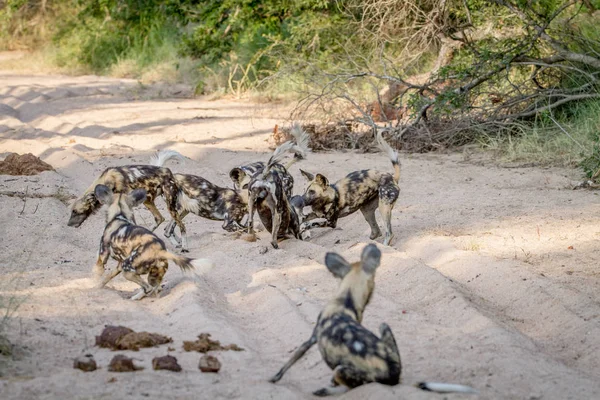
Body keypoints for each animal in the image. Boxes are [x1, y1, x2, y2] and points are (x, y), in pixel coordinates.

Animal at [270, 242, 400, 396]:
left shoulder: (311, 338)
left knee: (350, 387)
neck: (347, 298)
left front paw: (274, 378)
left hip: (341, 369)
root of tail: (391, 371)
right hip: (385, 330)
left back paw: (324, 391)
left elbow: (292, 359)